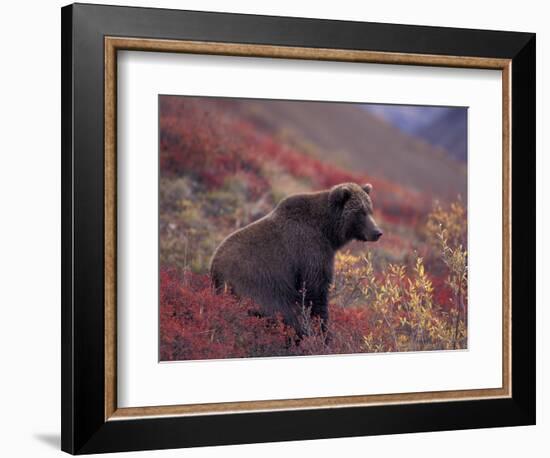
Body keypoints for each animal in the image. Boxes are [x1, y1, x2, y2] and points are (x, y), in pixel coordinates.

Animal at [211, 182, 384, 336]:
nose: (377, 232)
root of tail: (215, 270)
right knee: (283, 314)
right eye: (360, 212)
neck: (327, 231)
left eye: (370, 210)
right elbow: (315, 291)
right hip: (258, 286)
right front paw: (323, 332)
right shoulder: (310, 251)